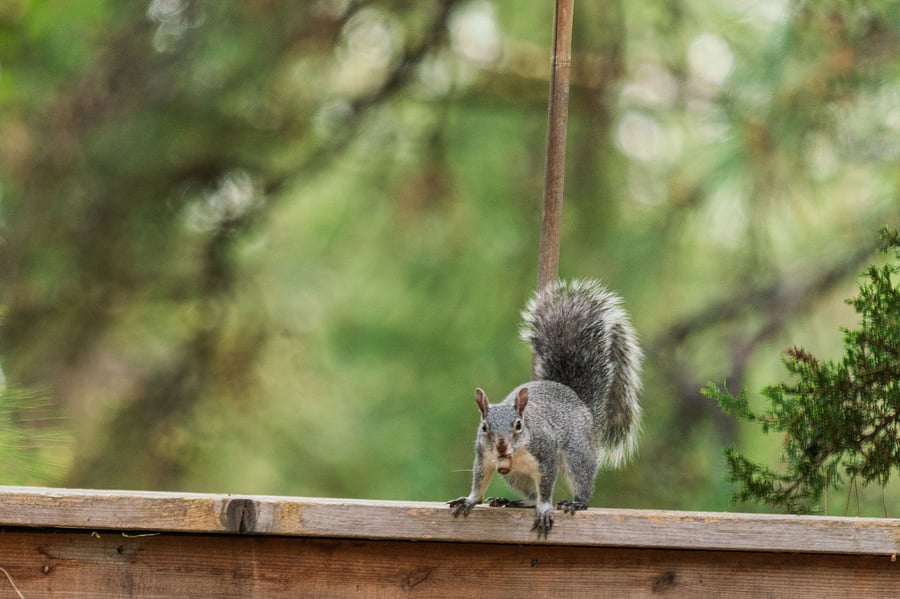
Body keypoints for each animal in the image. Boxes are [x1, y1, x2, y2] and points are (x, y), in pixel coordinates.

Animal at [448, 279, 642, 537]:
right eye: (484, 427)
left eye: (518, 425)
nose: (501, 446)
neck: (515, 453)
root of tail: (578, 400)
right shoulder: (484, 457)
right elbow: (479, 480)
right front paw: (470, 501)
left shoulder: (545, 453)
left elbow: (547, 486)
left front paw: (545, 509)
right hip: (517, 477)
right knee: (531, 495)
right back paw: (508, 501)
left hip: (577, 453)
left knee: (579, 480)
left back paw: (576, 503)